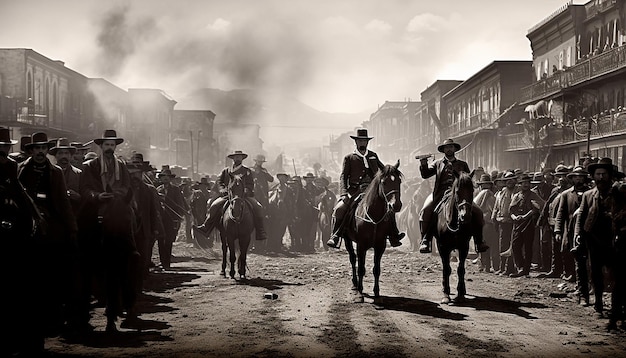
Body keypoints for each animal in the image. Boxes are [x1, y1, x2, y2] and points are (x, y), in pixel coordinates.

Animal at [344, 161, 402, 304]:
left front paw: (377, 293)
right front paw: (360, 293)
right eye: (384, 182)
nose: (396, 205)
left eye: (399, 181)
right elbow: (360, 268)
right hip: (347, 239)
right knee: (353, 259)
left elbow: (376, 269)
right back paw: (355, 284)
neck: (373, 216)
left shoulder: (380, 246)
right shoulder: (361, 246)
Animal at [434, 172, 482, 304]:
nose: (465, 216)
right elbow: (446, 269)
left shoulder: (464, 246)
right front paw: (446, 294)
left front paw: (460, 294)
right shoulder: (443, 247)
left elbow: (461, 269)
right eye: (457, 191)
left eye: (472, 190)